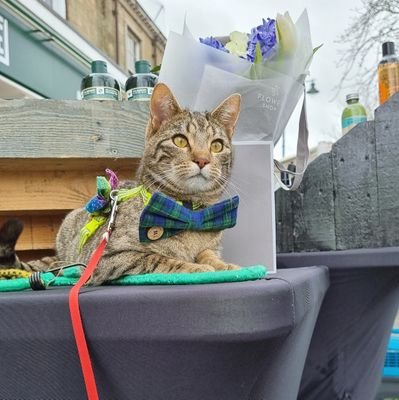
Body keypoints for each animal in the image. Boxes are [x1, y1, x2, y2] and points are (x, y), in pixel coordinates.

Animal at [0, 83, 241, 284]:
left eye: (217, 145)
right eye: (180, 141)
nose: (202, 160)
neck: (190, 213)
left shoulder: (211, 246)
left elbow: (208, 254)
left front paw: (224, 265)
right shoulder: (109, 257)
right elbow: (158, 258)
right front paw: (195, 267)